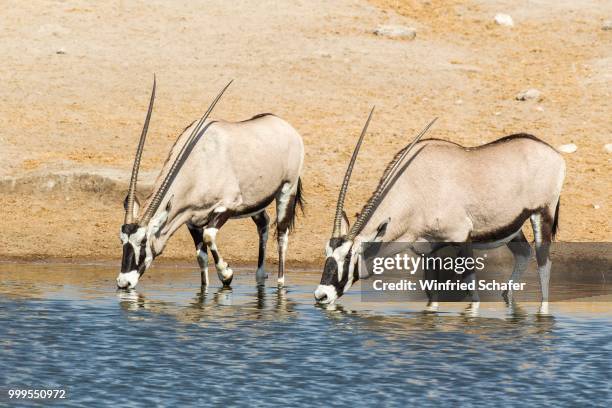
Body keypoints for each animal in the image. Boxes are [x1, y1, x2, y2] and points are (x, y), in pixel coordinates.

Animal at [116, 79, 304, 290]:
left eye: (143, 241)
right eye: (122, 240)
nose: (123, 282)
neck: (198, 161)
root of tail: (285, 126)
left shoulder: (226, 205)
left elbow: (209, 235)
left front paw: (226, 273)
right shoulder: (191, 220)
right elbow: (201, 257)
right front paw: (205, 289)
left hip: (286, 189)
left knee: (281, 234)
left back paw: (280, 282)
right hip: (254, 202)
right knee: (263, 223)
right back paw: (260, 275)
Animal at [318, 107, 568, 312]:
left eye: (349, 256)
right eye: (327, 253)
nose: (321, 295)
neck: (414, 188)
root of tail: (553, 153)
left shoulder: (462, 236)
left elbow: (472, 292)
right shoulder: (428, 249)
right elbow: (431, 294)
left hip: (542, 214)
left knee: (544, 264)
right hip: (512, 227)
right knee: (524, 254)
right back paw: (507, 298)